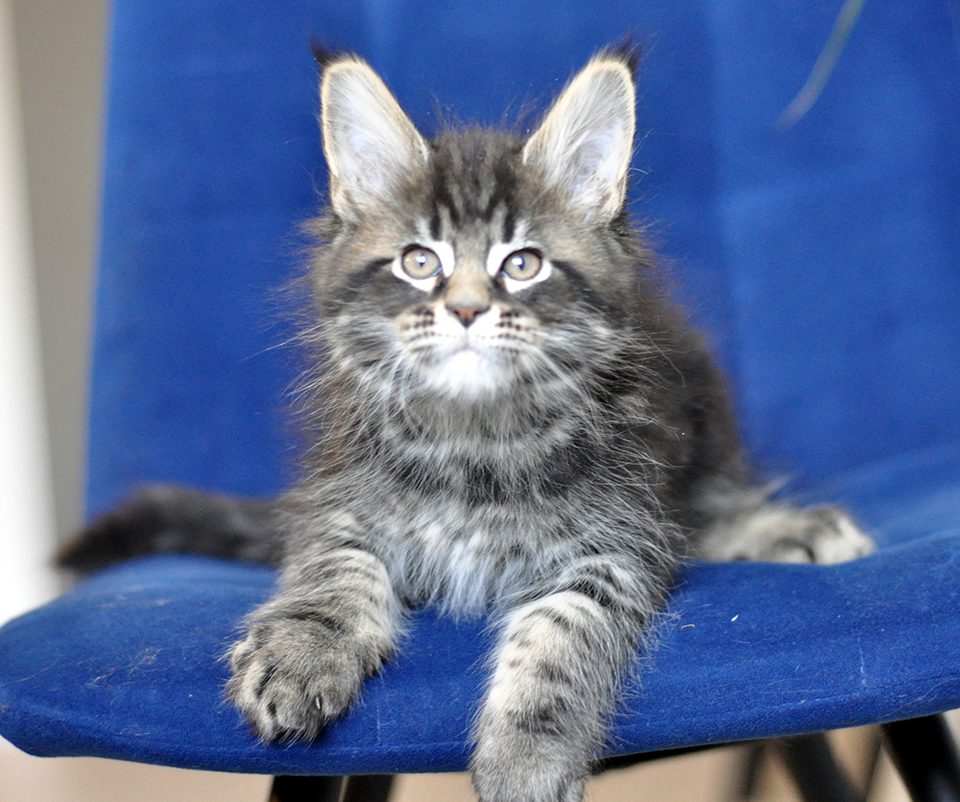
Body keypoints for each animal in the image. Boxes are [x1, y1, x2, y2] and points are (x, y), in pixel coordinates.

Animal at [58, 47, 872, 800]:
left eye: (523, 264)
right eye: (420, 262)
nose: (469, 308)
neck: (473, 440)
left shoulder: (616, 546)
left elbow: (560, 636)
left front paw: (527, 758)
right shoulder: (338, 506)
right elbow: (333, 575)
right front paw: (301, 657)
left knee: (704, 514)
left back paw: (794, 528)